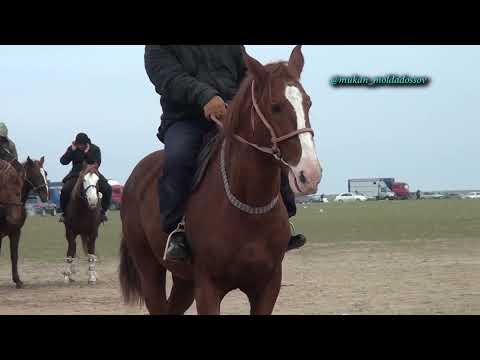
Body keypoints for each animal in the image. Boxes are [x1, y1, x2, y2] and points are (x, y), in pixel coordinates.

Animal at [0, 156, 49, 288]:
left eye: (45, 173)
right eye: (36, 174)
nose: (46, 195)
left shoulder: (16, 232)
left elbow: (14, 255)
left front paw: (17, 280)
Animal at [119, 45, 322, 316]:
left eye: (308, 103)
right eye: (275, 106)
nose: (310, 173)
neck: (248, 207)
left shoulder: (268, 288)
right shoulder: (207, 289)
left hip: (184, 281)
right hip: (150, 270)